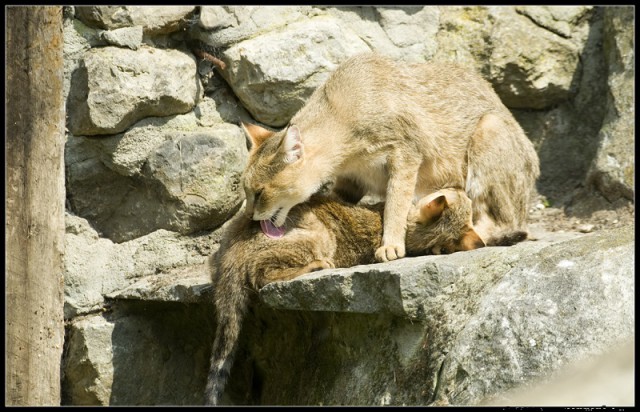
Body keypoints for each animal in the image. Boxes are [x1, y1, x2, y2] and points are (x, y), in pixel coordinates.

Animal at [240, 53, 540, 262]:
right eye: (246, 191)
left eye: (260, 192)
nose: (251, 216)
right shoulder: (352, 180)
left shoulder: (406, 154)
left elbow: (396, 201)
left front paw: (392, 244)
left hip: (489, 127)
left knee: (507, 224)